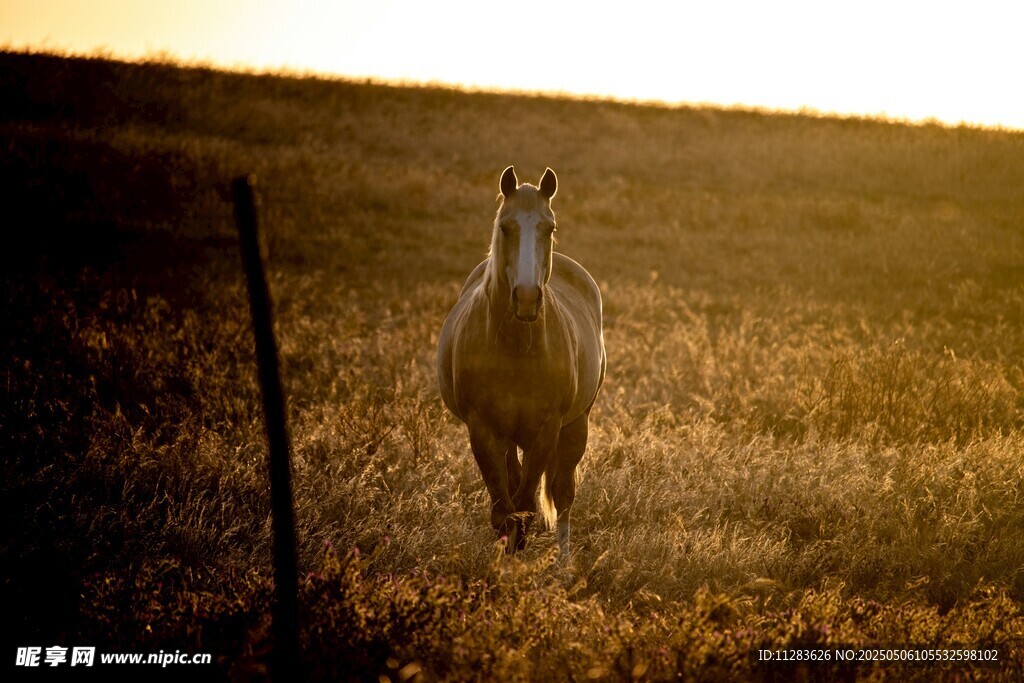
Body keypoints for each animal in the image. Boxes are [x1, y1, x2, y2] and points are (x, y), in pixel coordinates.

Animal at [437, 166, 606, 558]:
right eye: (505, 227)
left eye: (550, 228)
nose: (527, 297)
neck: (515, 348)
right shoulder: (483, 429)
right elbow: (505, 510)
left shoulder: (546, 430)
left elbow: (527, 505)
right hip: (510, 438)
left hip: (575, 427)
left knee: (562, 496)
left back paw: (564, 563)